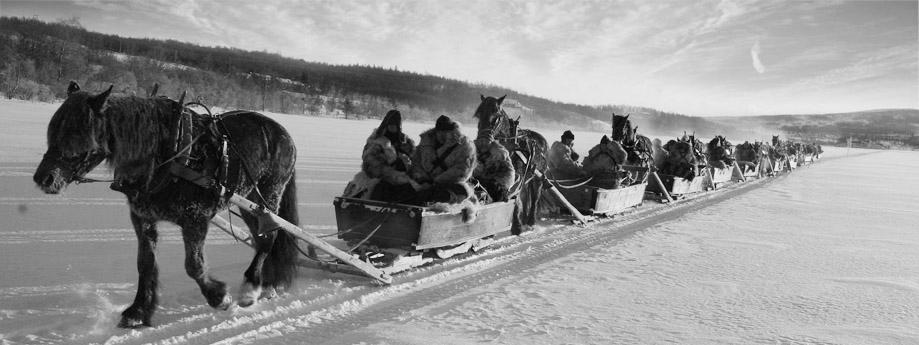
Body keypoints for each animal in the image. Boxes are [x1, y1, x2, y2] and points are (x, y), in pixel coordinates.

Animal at [31, 82, 298, 326]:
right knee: (263, 238)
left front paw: (218, 297)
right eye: (53, 130)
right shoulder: (142, 217)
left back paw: (251, 288)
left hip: (266, 196)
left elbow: (194, 266)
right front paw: (138, 311)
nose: (43, 178)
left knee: (268, 238)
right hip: (249, 202)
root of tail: (284, 134)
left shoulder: (196, 219)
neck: (166, 152)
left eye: (76, 133)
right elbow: (145, 264)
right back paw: (267, 283)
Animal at [474, 95, 548, 232]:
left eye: (497, 116)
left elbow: (515, 198)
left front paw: (516, 227)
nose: (483, 141)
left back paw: (531, 221)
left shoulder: (517, 175)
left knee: (535, 197)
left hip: (539, 177)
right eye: (478, 114)